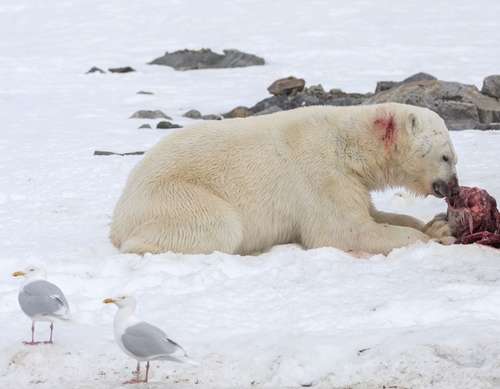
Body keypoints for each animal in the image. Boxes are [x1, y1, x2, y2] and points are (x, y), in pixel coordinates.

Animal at [111, 102, 458, 255]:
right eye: (446, 156)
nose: (453, 188)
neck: (347, 144)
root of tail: (118, 218)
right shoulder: (321, 177)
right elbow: (345, 230)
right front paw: (439, 238)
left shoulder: (350, 181)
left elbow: (373, 213)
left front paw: (435, 225)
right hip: (174, 196)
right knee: (218, 225)